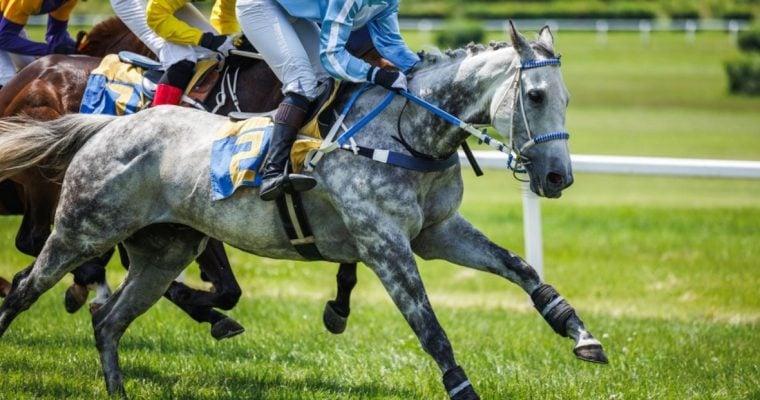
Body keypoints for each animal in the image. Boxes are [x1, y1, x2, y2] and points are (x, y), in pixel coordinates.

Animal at [0, 23, 608, 398]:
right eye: (534, 95)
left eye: (567, 98)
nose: (558, 177)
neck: (407, 134)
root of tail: (106, 125)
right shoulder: (384, 243)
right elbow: (430, 327)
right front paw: (463, 386)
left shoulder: (437, 232)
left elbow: (521, 268)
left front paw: (579, 333)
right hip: (81, 227)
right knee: (27, 285)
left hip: (164, 250)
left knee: (109, 320)